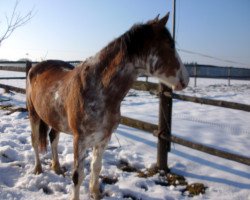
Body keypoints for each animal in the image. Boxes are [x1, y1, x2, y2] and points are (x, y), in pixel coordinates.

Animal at [25, 12, 189, 200]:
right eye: (170, 45)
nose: (186, 80)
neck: (98, 88)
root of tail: (34, 67)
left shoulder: (104, 138)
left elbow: (96, 168)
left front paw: (95, 193)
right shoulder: (79, 140)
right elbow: (78, 176)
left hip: (54, 119)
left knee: (53, 138)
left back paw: (57, 167)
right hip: (33, 114)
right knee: (35, 140)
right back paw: (38, 169)